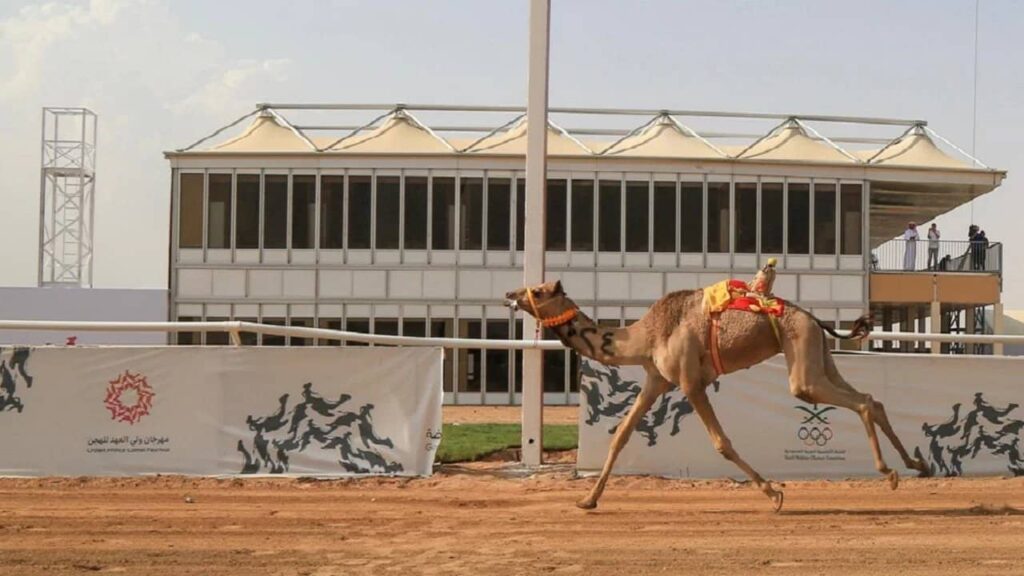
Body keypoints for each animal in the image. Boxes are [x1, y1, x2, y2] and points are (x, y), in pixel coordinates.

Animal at [507, 259, 933, 506]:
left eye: (540, 291)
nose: (511, 293)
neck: (645, 336)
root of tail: (813, 317)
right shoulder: (656, 381)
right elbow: (621, 434)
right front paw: (588, 500)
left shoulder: (689, 381)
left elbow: (721, 443)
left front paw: (774, 493)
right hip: (819, 355)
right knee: (870, 398)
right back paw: (917, 464)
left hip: (801, 353)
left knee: (850, 400)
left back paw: (890, 473)